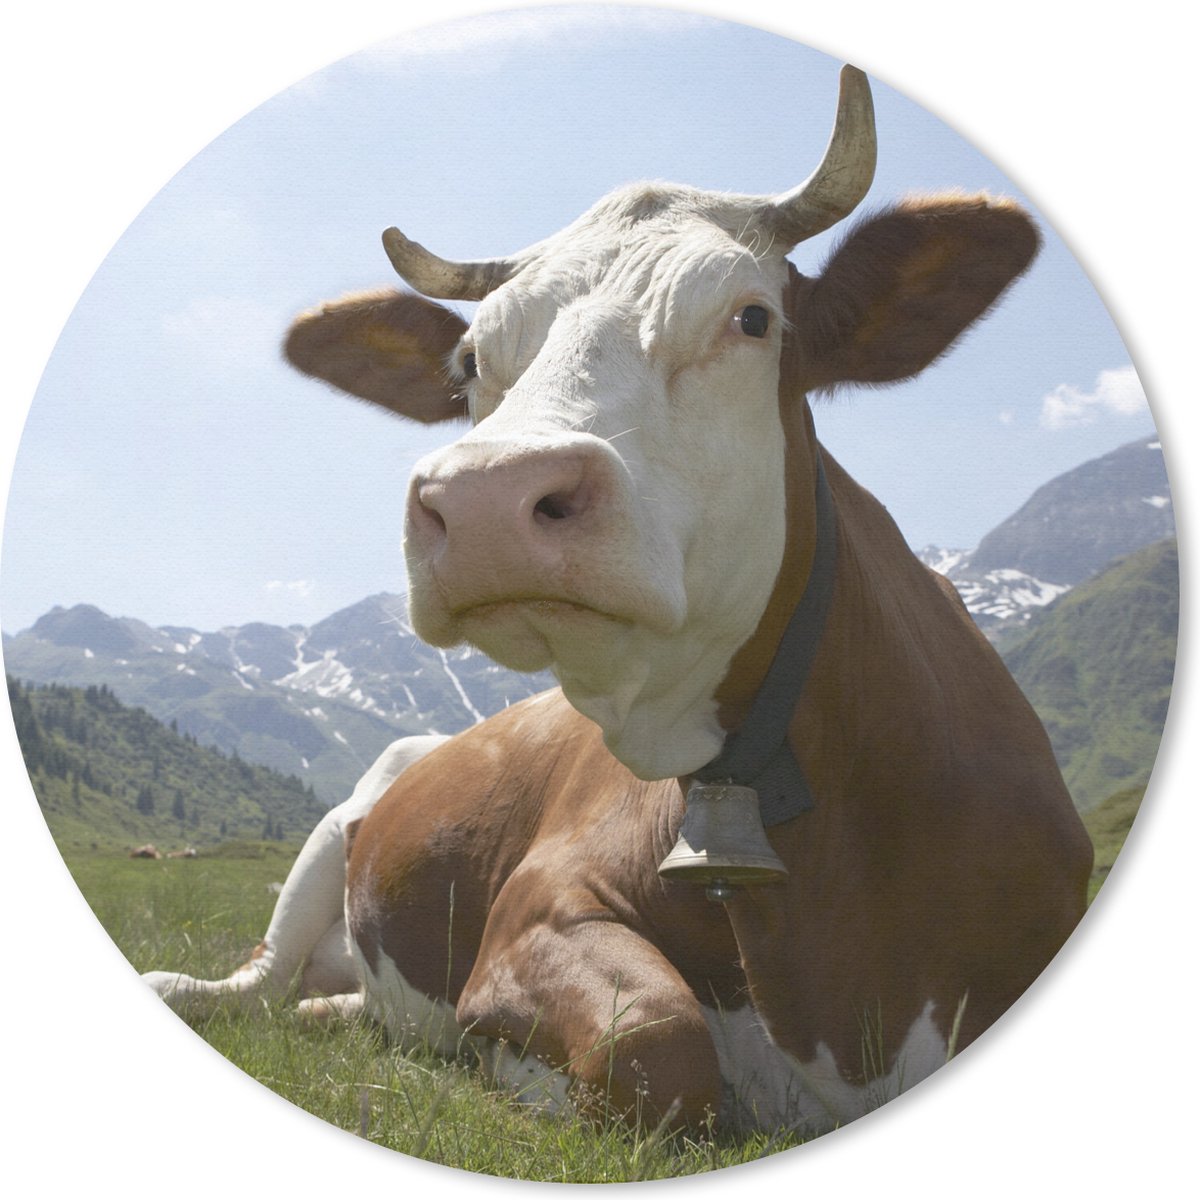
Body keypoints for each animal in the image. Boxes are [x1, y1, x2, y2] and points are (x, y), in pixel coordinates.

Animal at [143, 66, 1092, 1137]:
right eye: (468, 364)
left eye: (752, 319)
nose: (486, 499)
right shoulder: (538, 905)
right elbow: (656, 1042)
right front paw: (507, 1066)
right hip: (329, 838)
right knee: (251, 984)